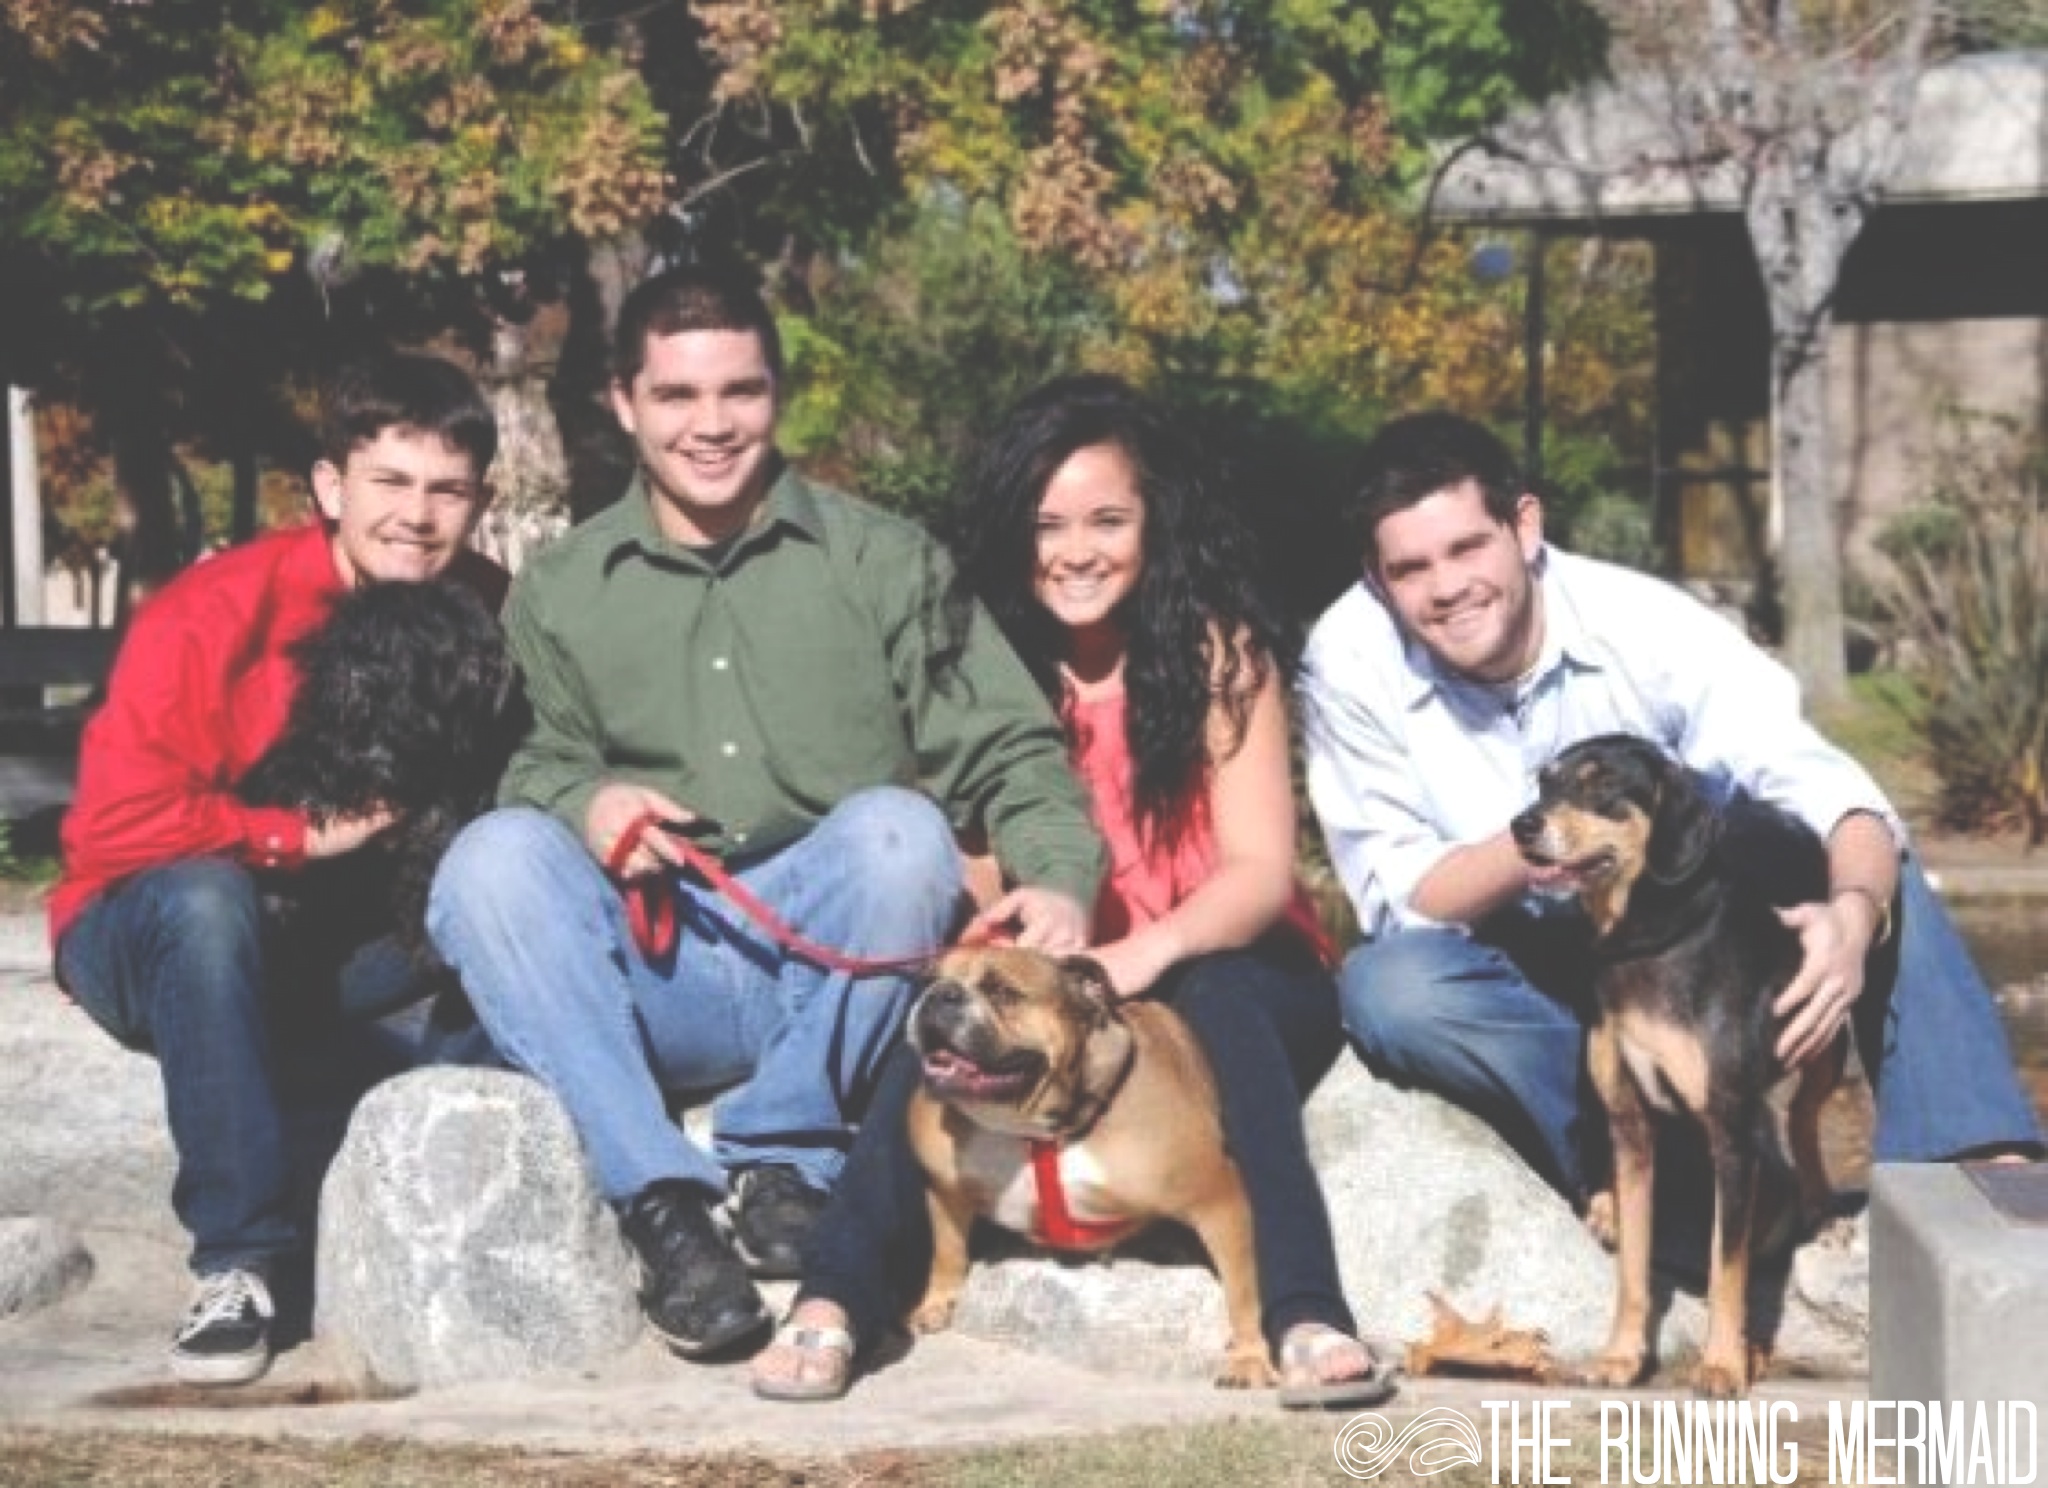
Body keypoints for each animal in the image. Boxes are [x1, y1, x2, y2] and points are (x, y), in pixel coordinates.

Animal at [902, 946, 1275, 1388]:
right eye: (927, 981)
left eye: (1002, 992)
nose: (939, 994)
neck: (1034, 1131)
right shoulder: (944, 1188)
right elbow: (947, 1249)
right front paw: (938, 1299)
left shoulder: (1219, 1201)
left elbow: (1242, 1288)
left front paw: (1250, 1356)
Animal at [1510, 733, 1849, 1397]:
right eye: (1545, 782)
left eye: (1603, 783)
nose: (1522, 825)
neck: (1644, 941)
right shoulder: (1632, 1129)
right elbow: (1634, 1267)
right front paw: (1621, 1356)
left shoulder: (1729, 1132)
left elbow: (1726, 1267)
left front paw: (1721, 1365)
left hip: (1832, 1029)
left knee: (1803, 1113)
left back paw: (1818, 1207)